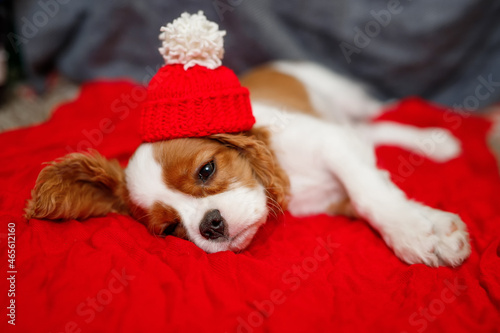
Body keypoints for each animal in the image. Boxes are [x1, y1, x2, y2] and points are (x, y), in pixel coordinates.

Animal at [25, 61, 470, 266]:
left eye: (206, 170)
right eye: (170, 229)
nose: (211, 225)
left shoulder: (333, 143)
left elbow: (370, 194)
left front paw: (414, 231)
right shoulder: (334, 186)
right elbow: (367, 192)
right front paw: (423, 227)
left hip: (343, 95)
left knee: (378, 113)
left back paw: (433, 139)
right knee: (371, 132)